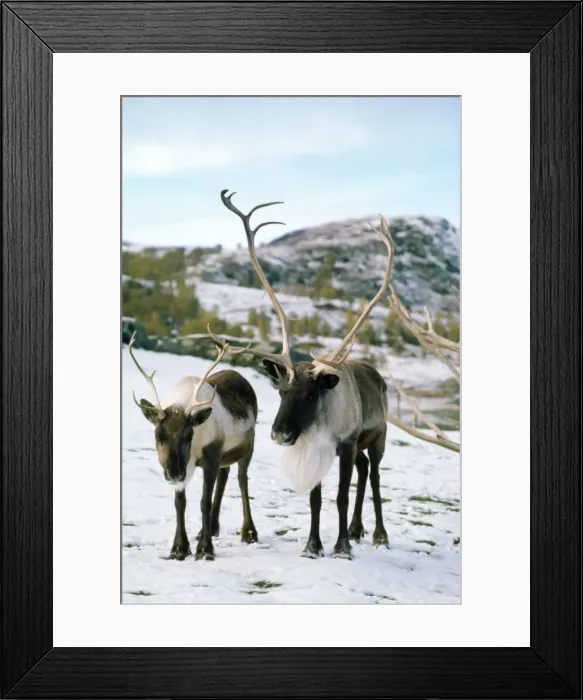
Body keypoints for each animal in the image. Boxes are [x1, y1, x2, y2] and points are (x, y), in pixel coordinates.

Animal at [128, 332, 259, 561]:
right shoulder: (186, 467)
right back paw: (211, 528)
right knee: (225, 475)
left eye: (188, 435)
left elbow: (203, 502)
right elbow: (180, 503)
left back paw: (249, 532)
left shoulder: (211, 456)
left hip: (247, 448)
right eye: (157, 436)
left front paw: (205, 550)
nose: (173, 473)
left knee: (242, 479)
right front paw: (179, 548)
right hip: (222, 456)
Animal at [209, 189, 393, 560]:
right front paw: (313, 546)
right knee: (365, 471)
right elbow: (316, 500)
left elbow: (340, 496)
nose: (279, 434)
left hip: (378, 437)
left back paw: (379, 535)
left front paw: (341, 548)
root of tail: (376, 376)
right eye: (281, 391)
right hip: (362, 447)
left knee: (375, 476)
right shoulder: (320, 450)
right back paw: (357, 529)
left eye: (311, 394)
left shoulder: (346, 444)